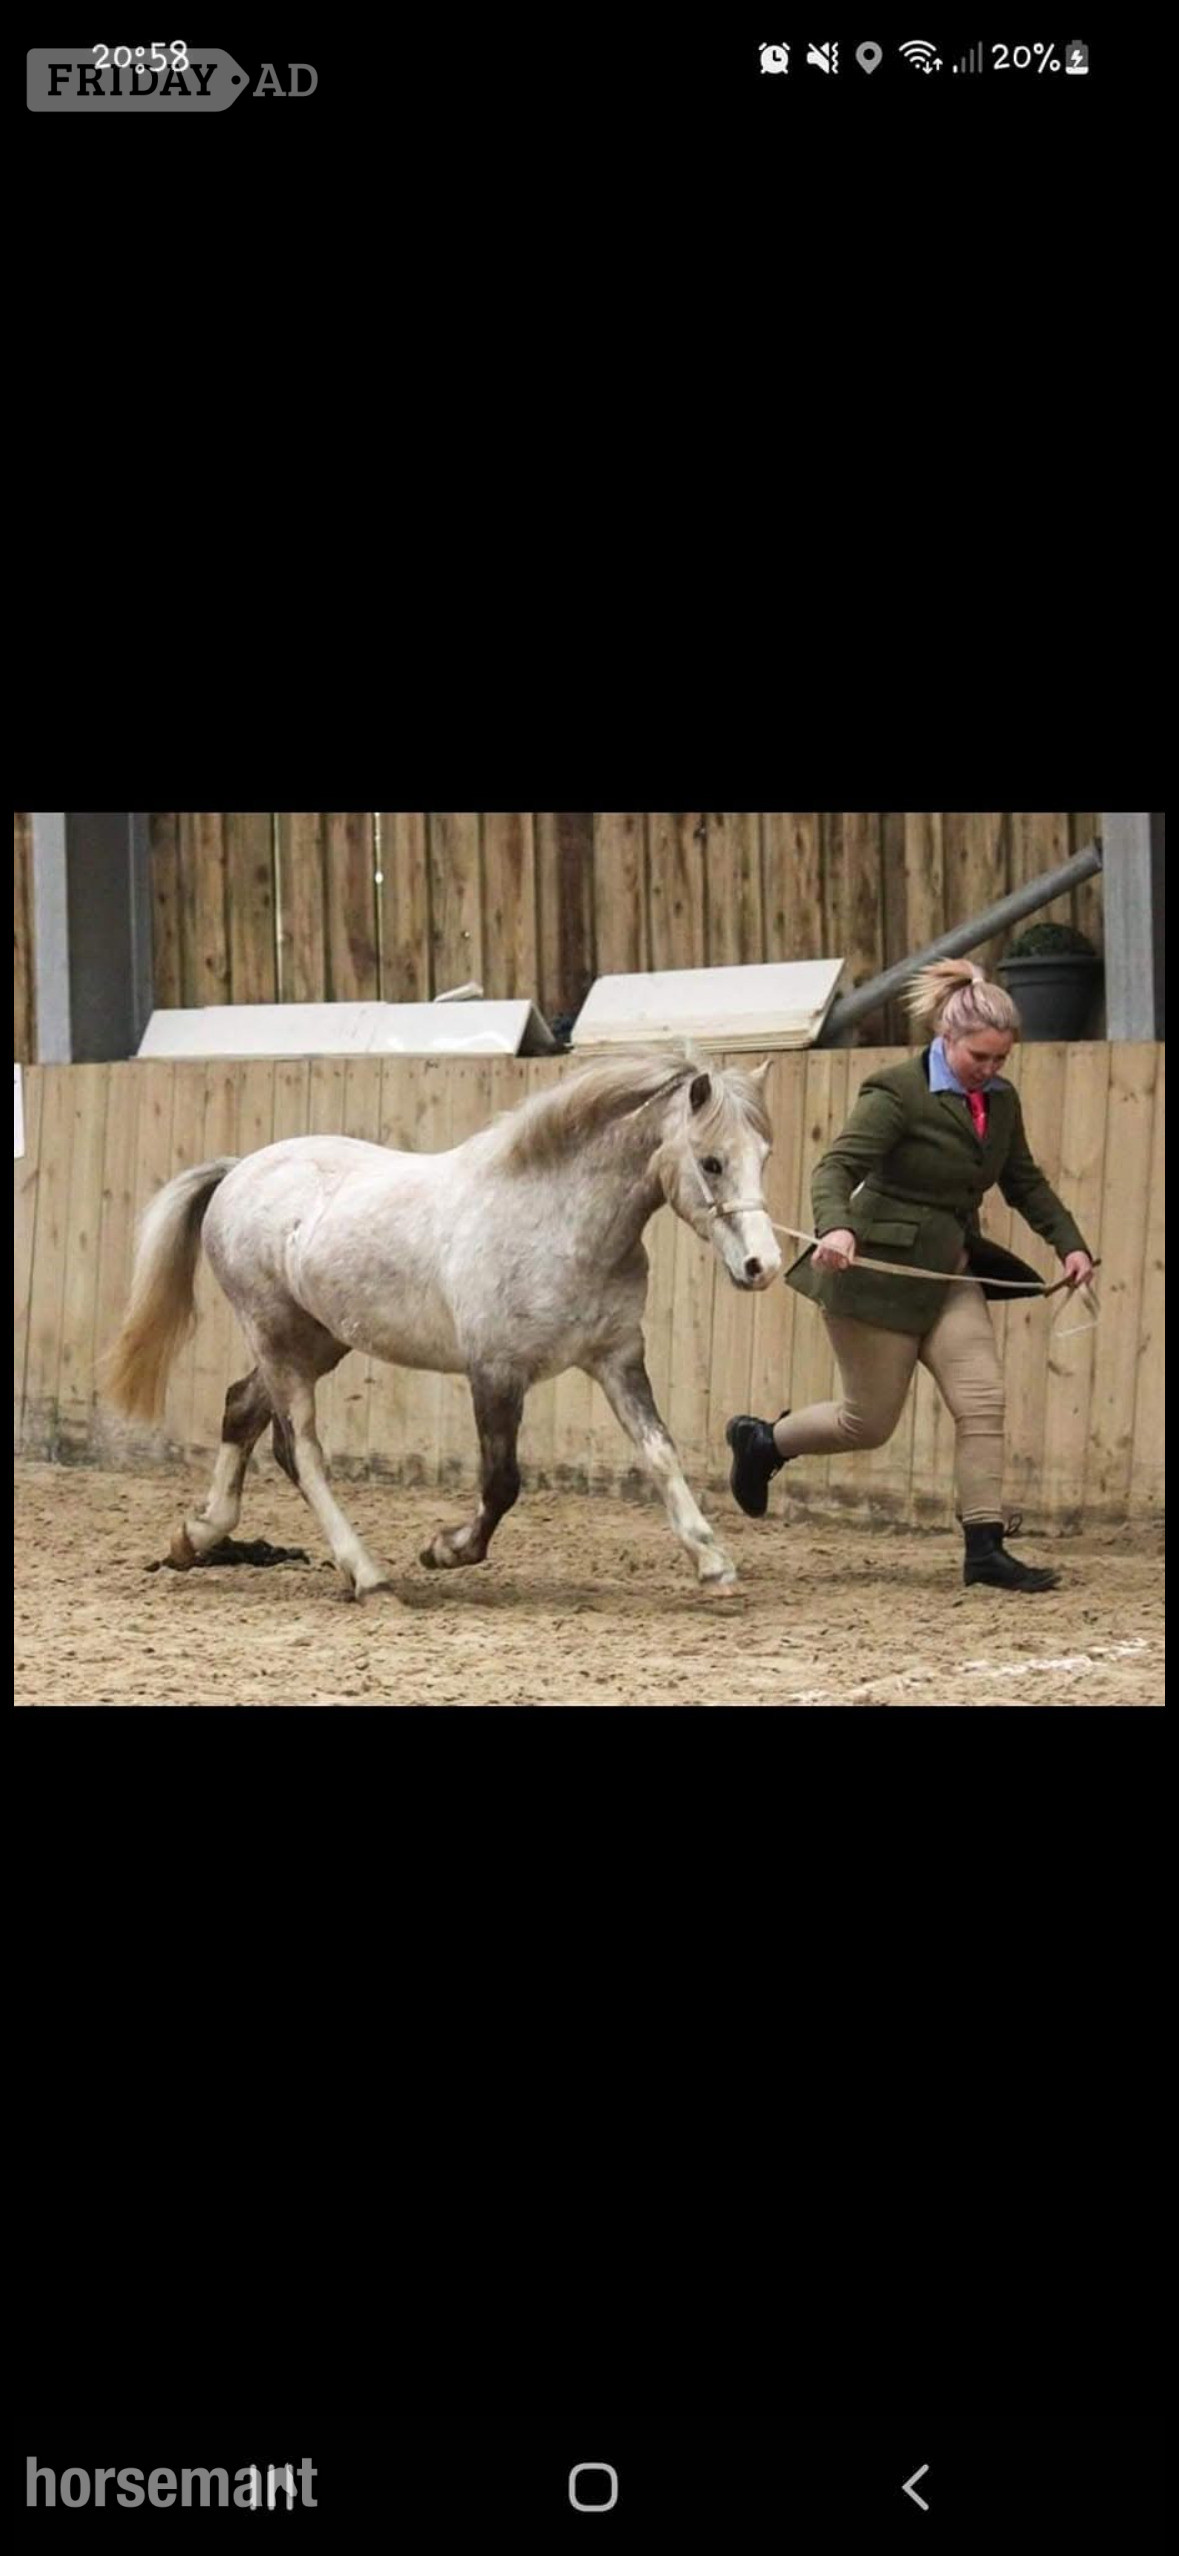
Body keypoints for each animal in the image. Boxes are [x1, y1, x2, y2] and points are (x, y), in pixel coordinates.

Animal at [102, 1050, 782, 1599]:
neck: (558, 1223)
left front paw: (714, 1564)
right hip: (275, 1336)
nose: (763, 1266)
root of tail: (240, 1170)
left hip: (317, 1341)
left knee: (242, 1410)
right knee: (301, 1449)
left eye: (764, 1157)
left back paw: (196, 1537)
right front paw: (444, 1550)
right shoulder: (496, 1372)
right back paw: (369, 1577)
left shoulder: (616, 1358)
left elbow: (660, 1453)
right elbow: (502, 1482)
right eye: (712, 1162)